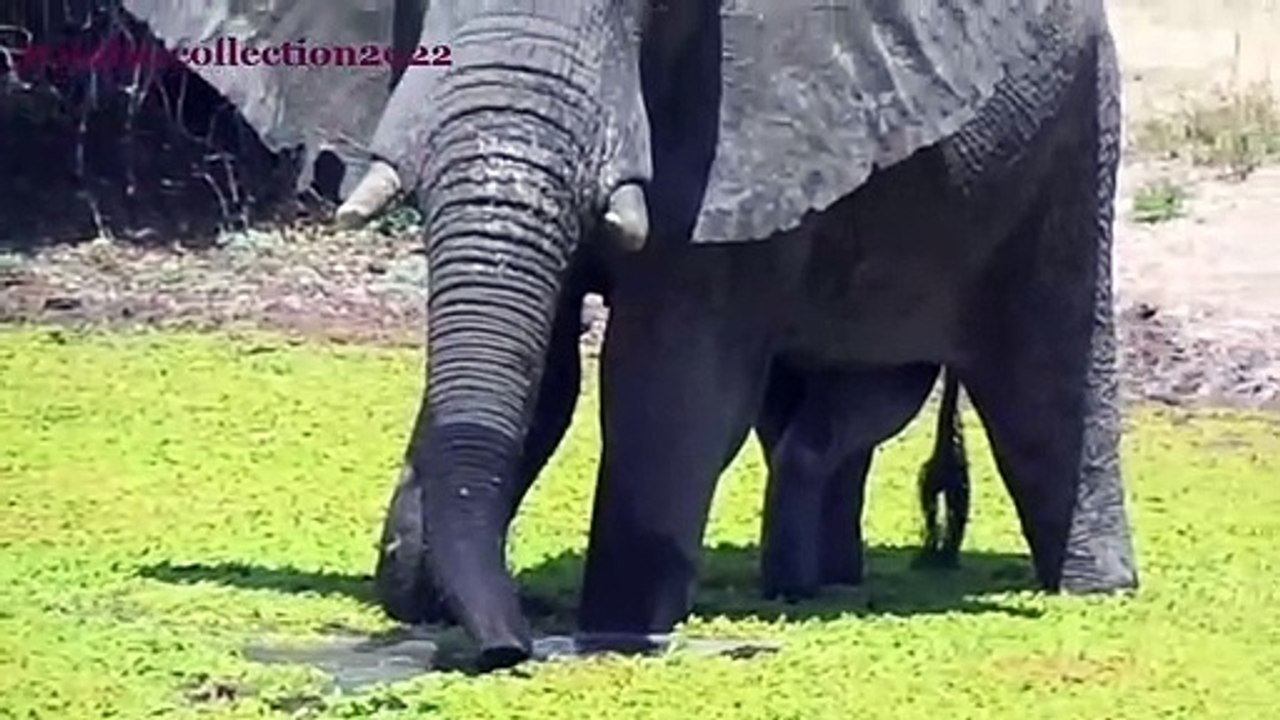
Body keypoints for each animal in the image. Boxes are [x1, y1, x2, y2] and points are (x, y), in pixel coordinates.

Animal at [338, 0, 1139, 669]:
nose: (510, 649)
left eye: (642, 7)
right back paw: (819, 583)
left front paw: (618, 635)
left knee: (1045, 378)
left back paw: (1097, 590)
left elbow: (668, 379)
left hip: (1071, 122)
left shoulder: (745, 123)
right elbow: (550, 377)